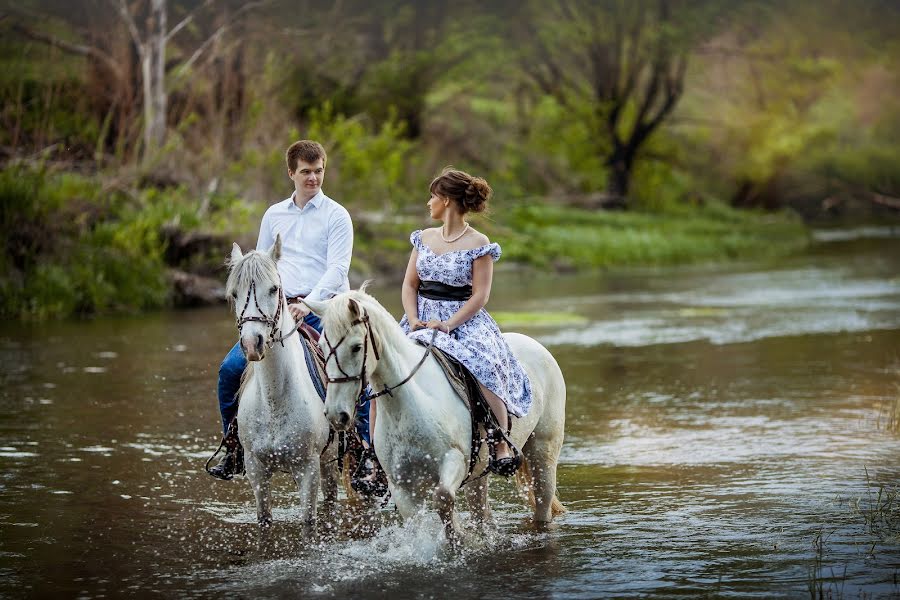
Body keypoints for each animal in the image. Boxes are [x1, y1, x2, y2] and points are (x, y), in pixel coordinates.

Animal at [225, 237, 338, 536]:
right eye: (234, 294)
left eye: (274, 289)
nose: (252, 344)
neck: (274, 399)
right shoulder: (256, 469)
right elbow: (264, 520)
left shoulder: (307, 469)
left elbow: (309, 524)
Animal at [306, 286, 568, 540]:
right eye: (322, 347)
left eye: (356, 347)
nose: (335, 414)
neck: (409, 404)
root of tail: (536, 345)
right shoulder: (401, 486)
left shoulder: (455, 460)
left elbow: (443, 498)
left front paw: (459, 535)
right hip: (480, 473)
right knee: (482, 512)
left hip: (542, 451)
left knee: (543, 503)